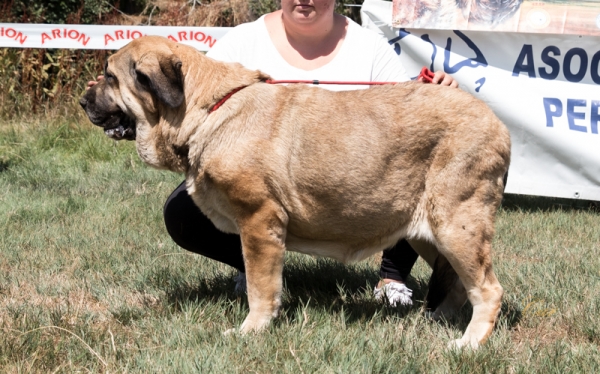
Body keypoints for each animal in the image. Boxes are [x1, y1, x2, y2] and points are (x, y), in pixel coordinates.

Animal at [79, 36, 510, 350]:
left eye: (110, 76)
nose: (83, 100)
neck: (207, 109)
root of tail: (498, 124)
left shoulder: (260, 222)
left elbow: (261, 287)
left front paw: (251, 330)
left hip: (456, 226)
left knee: (488, 289)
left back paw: (469, 343)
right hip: (429, 232)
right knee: (458, 284)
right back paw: (436, 320)